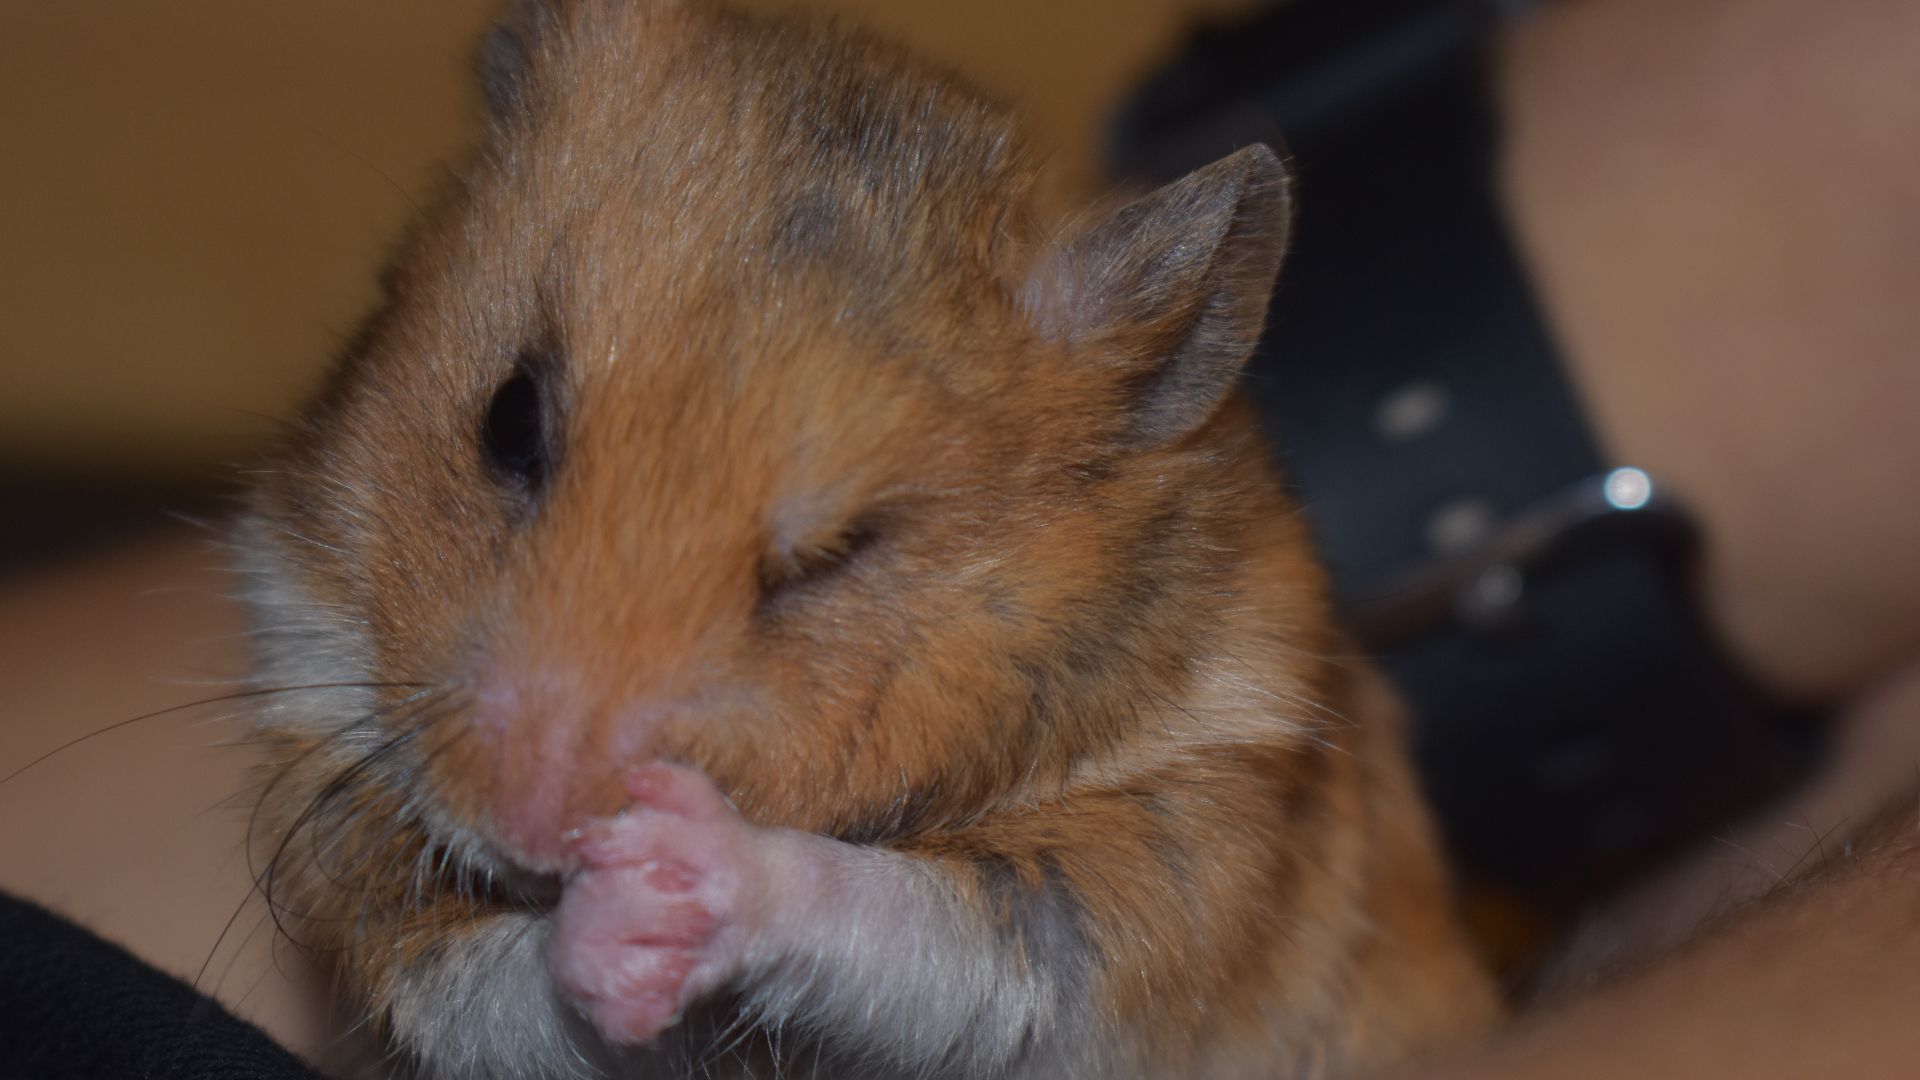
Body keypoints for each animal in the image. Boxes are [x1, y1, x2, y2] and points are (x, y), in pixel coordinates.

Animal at [237, 1, 1498, 1077]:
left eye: (838, 552)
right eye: (508, 421)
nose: (536, 829)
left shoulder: (1149, 877)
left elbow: (902, 914)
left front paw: (667, 873)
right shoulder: (344, 792)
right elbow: (499, 986)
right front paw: (611, 932)